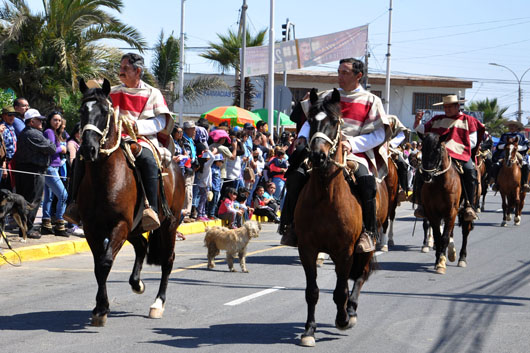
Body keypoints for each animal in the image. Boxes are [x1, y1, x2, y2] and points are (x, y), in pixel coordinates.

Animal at [77, 78, 185, 326]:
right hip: (136, 228)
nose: (88, 149)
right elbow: (98, 265)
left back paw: (157, 303)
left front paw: (101, 309)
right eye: (81, 111)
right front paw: (100, 307)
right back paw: (137, 283)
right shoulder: (92, 228)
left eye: (105, 111)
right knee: (143, 246)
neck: (104, 179)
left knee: (168, 260)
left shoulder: (120, 224)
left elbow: (105, 262)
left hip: (169, 224)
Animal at [292, 88, 376, 346]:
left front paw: (342, 319)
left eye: (335, 122)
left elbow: (340, 290)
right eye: (310, 121)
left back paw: (351, 311)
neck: (326, 195)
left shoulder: (345, 250)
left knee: (360, 276)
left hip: (366, 247)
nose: (317, 156)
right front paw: (309, 330)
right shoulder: (307, 249)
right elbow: (312, 291)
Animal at [418, 132, 472, 272]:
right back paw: (451, 253)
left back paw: (462, 258)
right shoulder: (432, 213)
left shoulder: (451, 211)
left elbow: (445, 237)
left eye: (437, 150)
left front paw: (441, 263)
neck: (440, 184)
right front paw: (438, 260)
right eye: (422, 148)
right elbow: (438, 237)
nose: (426, 175)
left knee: (465, 230)